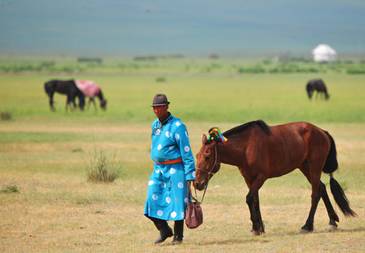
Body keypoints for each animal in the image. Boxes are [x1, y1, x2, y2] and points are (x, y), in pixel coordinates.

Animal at [195, 120, 354, 235]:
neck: (246, 147)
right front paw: (259, 227)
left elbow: (249, 198)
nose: (197, 183)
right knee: (321, 188)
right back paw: (332, 221)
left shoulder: (261, 177)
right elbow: (255, 200)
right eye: (197, 156)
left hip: (314, 167)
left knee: (315, 194)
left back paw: (307, 225)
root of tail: (322, 132)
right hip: (305, 167)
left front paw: (256, 226)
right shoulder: (249, 178)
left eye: (207, 156)